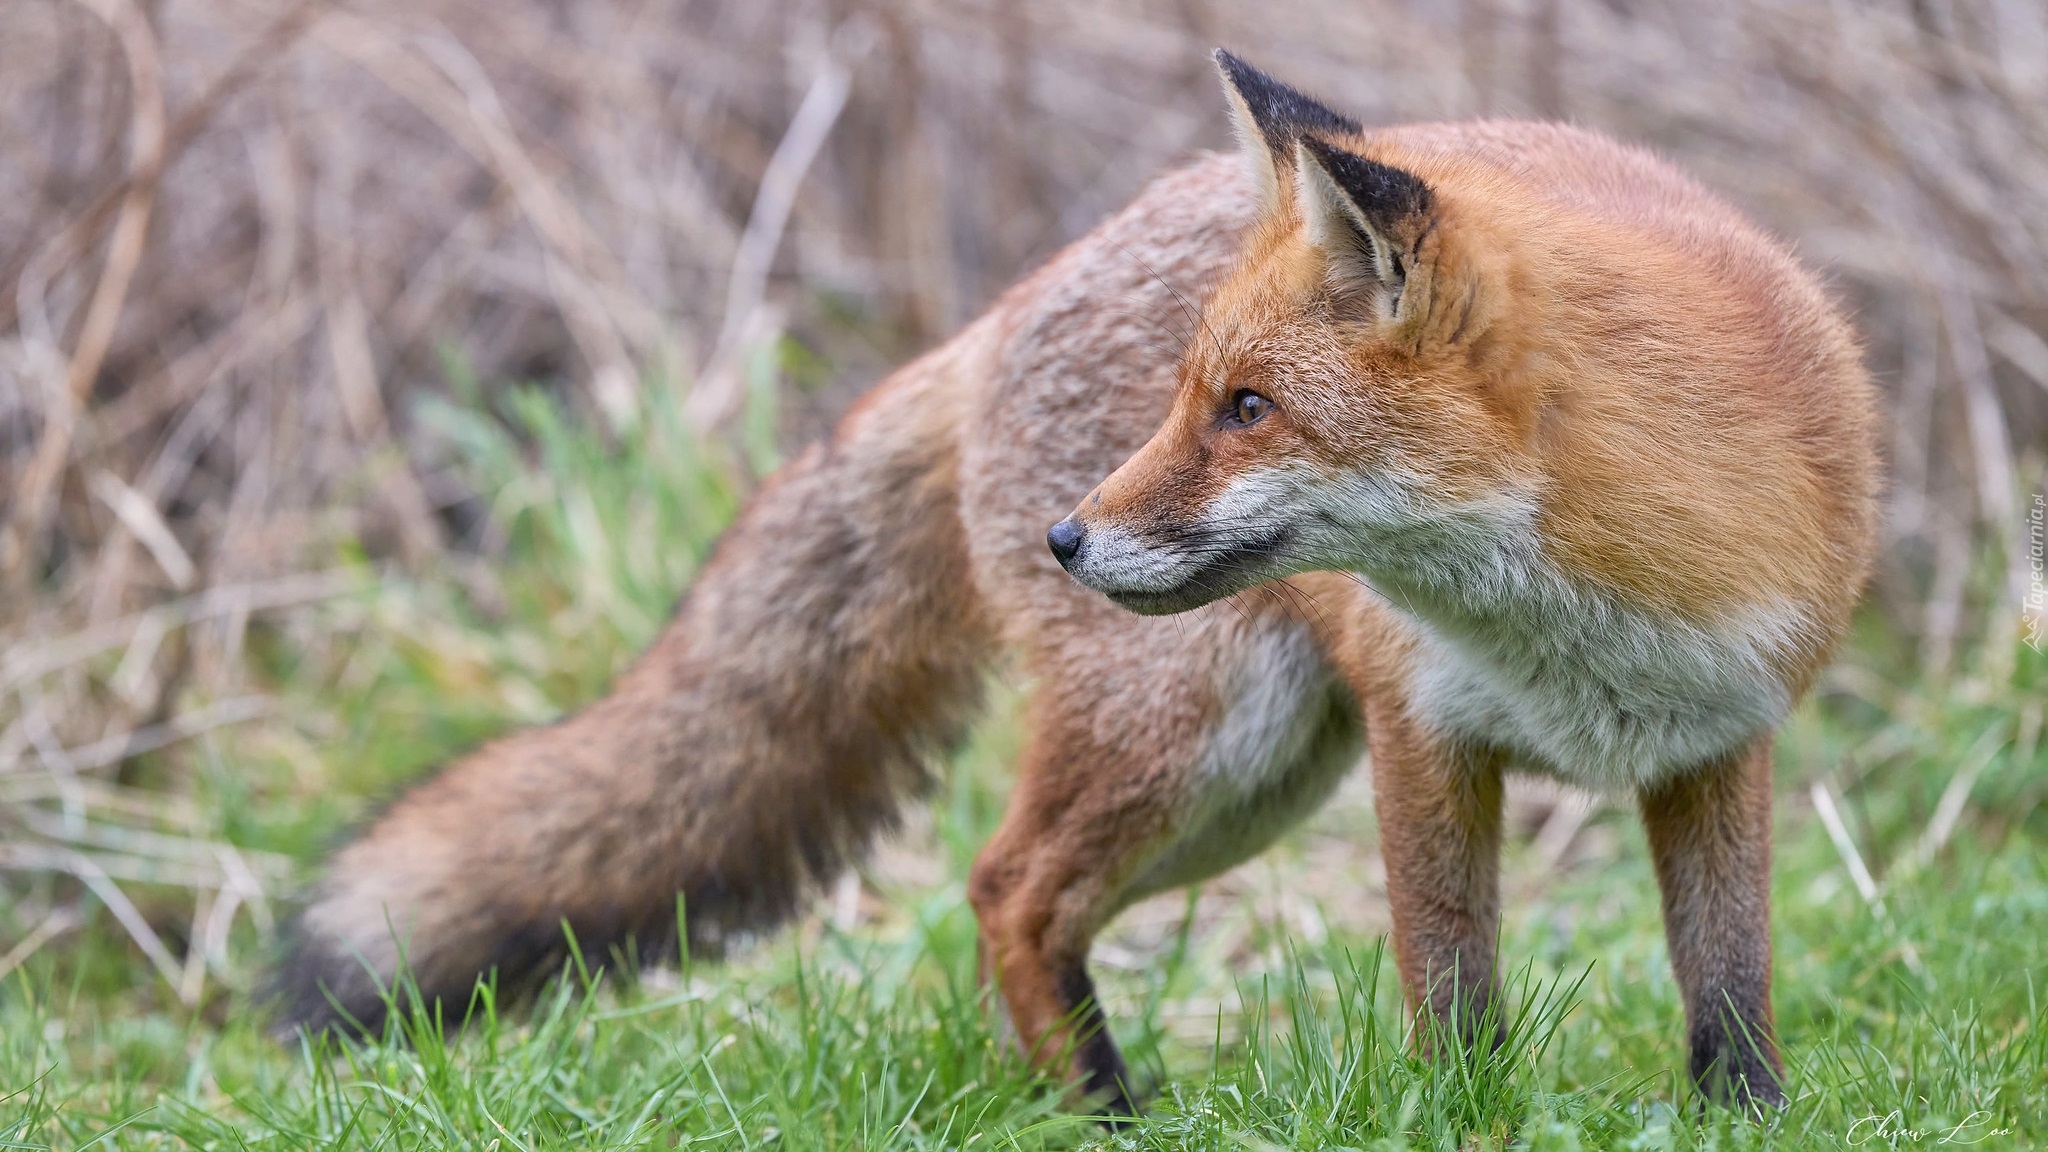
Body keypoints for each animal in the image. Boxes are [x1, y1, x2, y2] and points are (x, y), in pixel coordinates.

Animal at [280, 49, 1875, 1106]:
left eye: (1248, 408)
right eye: (1190, 397)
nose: (1066, 538)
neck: (1583, 626)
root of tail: (998, 312)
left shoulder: (1717, 740)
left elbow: (1729, 990)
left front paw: (1744, 1123)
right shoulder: (1426, 738)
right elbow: (1453, 990)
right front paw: (1464, 1120)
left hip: (1253, 775)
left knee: (1024, 898)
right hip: (1196, 739)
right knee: (1008, 890)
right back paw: (1100, 1112)